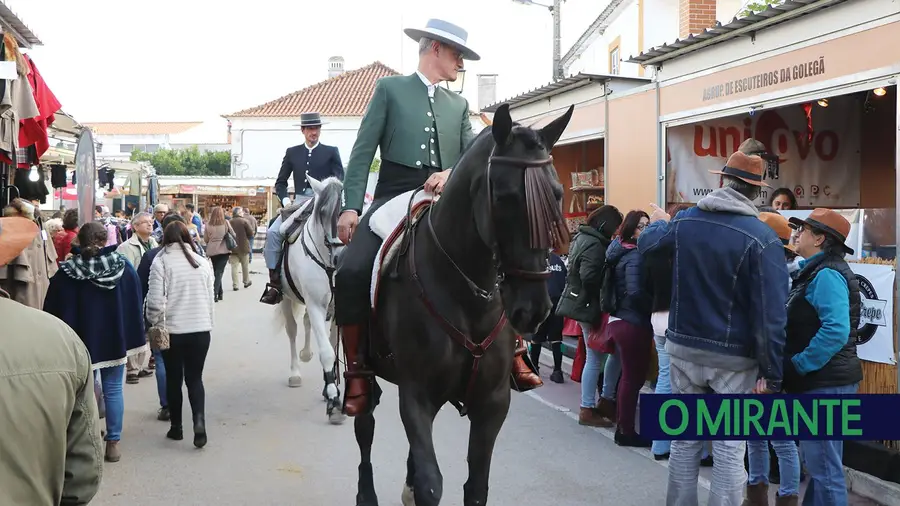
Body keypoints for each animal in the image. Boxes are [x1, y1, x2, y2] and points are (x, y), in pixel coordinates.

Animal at [272, 176, 346, 424]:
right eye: (321, 212)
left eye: (343, 209)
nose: (339, 256)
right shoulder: (315, 305)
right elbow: (327, 351)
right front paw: (334, 400)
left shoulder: (337, 307)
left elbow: (332, 345)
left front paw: (330, 388)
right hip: (285, 298)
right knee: (293, 330)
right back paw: (295, 372)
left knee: (305, 324)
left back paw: (306, 354)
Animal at [356, 104, 572, 506]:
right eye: (505, 196)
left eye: (557, 194)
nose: (534, 309)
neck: (469, 296)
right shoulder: (417, 394)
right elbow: (431, 483)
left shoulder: (492, 402)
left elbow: (476, 488)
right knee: (365, 422)